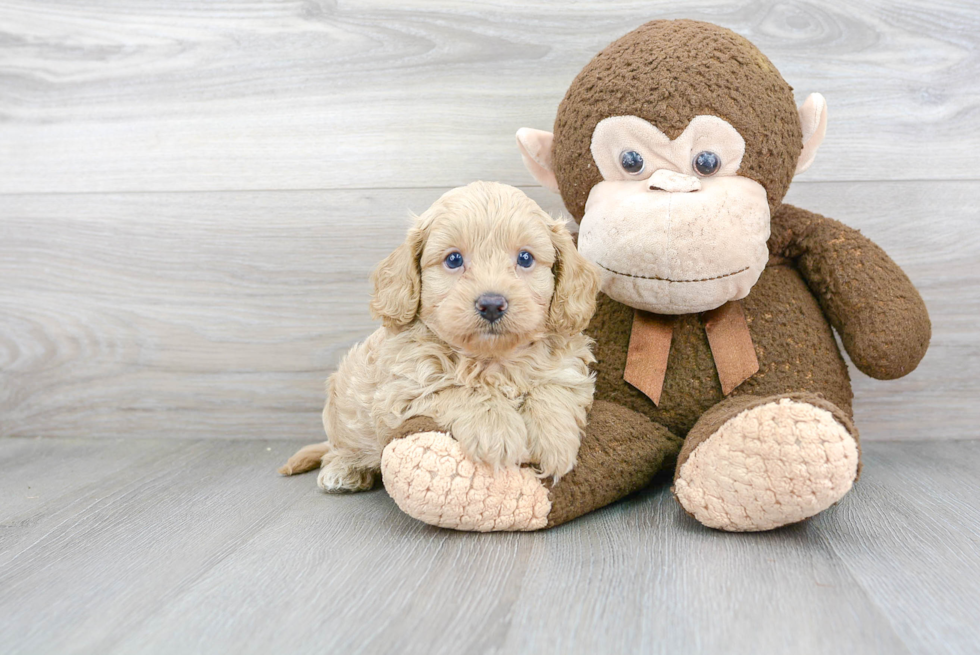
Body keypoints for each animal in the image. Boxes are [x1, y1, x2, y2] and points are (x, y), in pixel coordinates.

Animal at [280, 182, 600, 490]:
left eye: (525, 258)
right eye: (454, 259)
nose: (492, 304)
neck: (492, 358)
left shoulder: (569, 368)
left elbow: (553, 387)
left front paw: (553, 439)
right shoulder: (403, 390)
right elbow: (457, 389)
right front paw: (495, 430)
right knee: (338, 448)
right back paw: (343, 470)